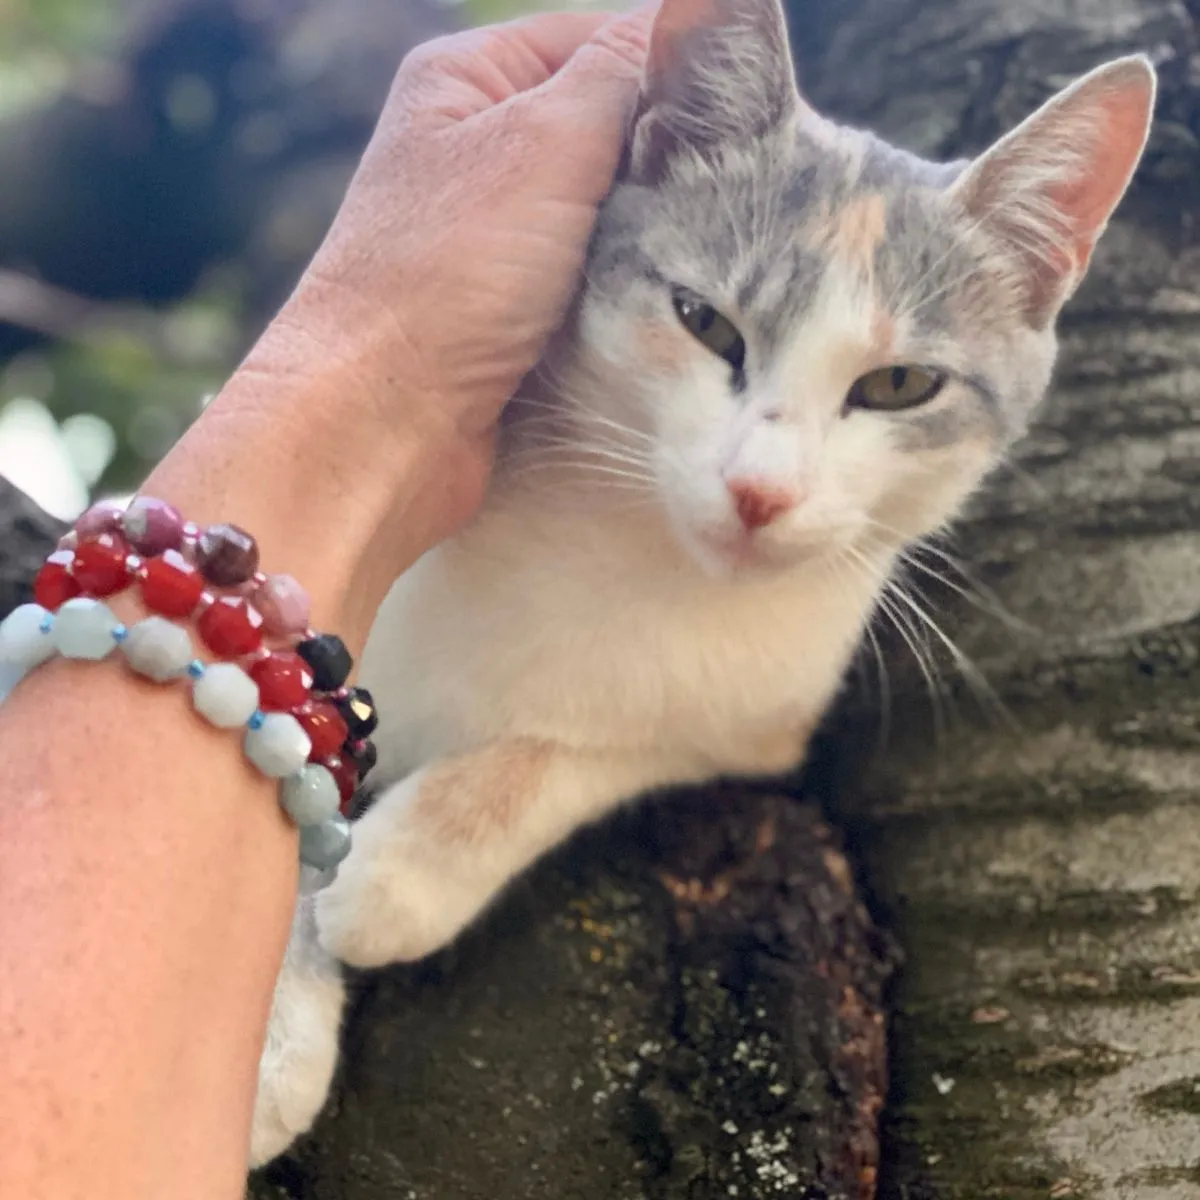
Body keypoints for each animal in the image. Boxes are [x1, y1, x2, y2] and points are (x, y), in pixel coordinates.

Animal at [248, 0, 1156, 1166]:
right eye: (705, 321)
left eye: (901, 384)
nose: (760, 491)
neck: (629, 550)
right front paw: (264, 1030)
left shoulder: (758, 716)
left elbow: (592, 746)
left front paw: (399, 870)